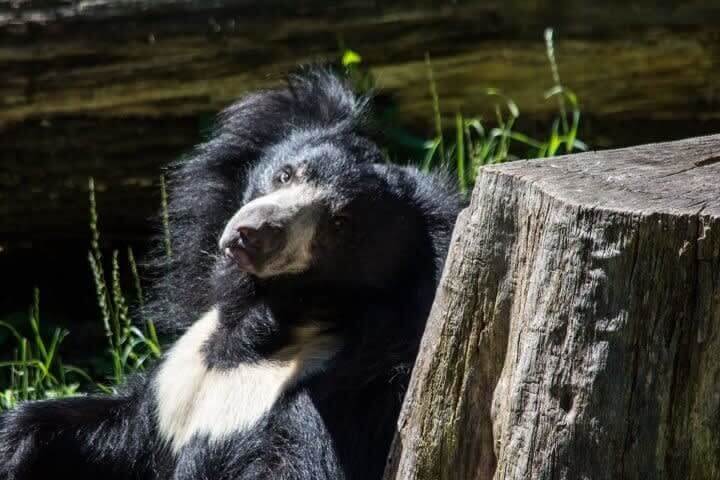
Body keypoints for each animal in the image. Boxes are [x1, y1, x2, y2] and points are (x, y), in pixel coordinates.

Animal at [0, 66, 460, 480]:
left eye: (339, 224)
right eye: (286, 174)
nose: (252, 233)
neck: (252, 329)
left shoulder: (327, 401)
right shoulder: (170, 390)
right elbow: (77, 427)